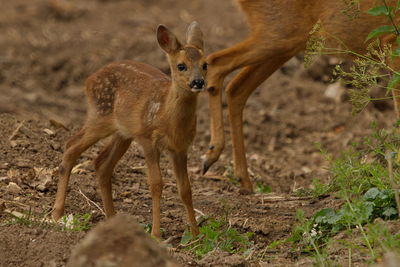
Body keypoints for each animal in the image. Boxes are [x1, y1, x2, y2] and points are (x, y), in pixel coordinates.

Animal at [51, 22, 206, 240]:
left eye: (205, 64)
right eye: (181, 65)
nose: (198, 82)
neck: (167, 115)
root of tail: (88, 80)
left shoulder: (180, 148)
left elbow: (186, 189)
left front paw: (196, 235)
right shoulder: (148, 139)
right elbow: (156, 184)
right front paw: (156, 235)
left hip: (123, 133)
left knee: (101, 163)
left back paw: (112, 219)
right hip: (100, 116)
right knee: (71, 145)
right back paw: (57, 214)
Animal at [202, 0, 400, 194]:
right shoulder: (393, 43)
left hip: (286, 42)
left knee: (235, 88)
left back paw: (242, 181)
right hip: (277, 32)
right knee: (214, 63)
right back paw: (211, 155)